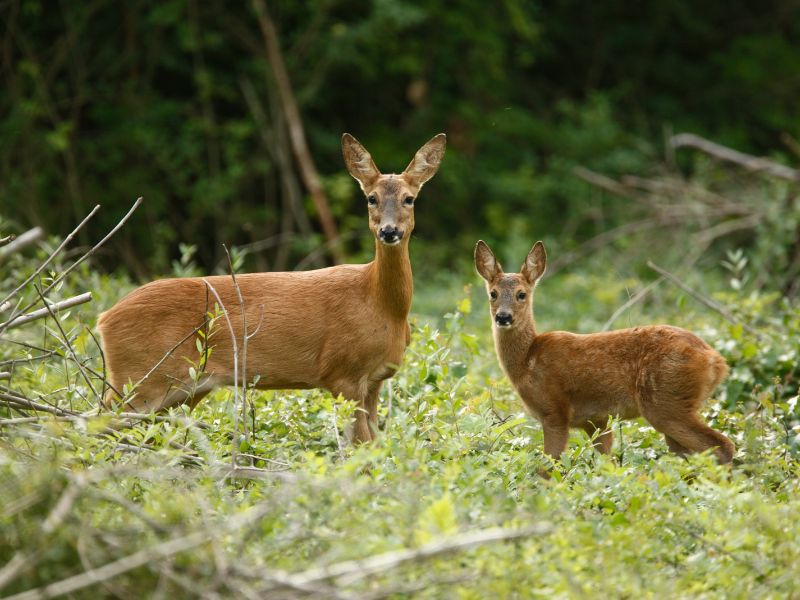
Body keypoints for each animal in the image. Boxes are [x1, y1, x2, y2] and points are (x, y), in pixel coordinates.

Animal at [97, 132, 446, 440]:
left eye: (409, 199)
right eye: (371, 198)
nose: (389, 231)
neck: (378, 302)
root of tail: (103, 318)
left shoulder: (374, 380)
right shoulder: (342, 373)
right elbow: (362, 449)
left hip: (183, 388)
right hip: (139, 378)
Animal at [472, 241, 736, 466]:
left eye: (521, 294)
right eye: (493, 293)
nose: (503, 317)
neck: (527, 360)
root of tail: (716, 361)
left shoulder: (555, 411)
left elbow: (548, 466)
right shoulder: (597, 420)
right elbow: (606, 462)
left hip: (665, 401)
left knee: (722, 445)